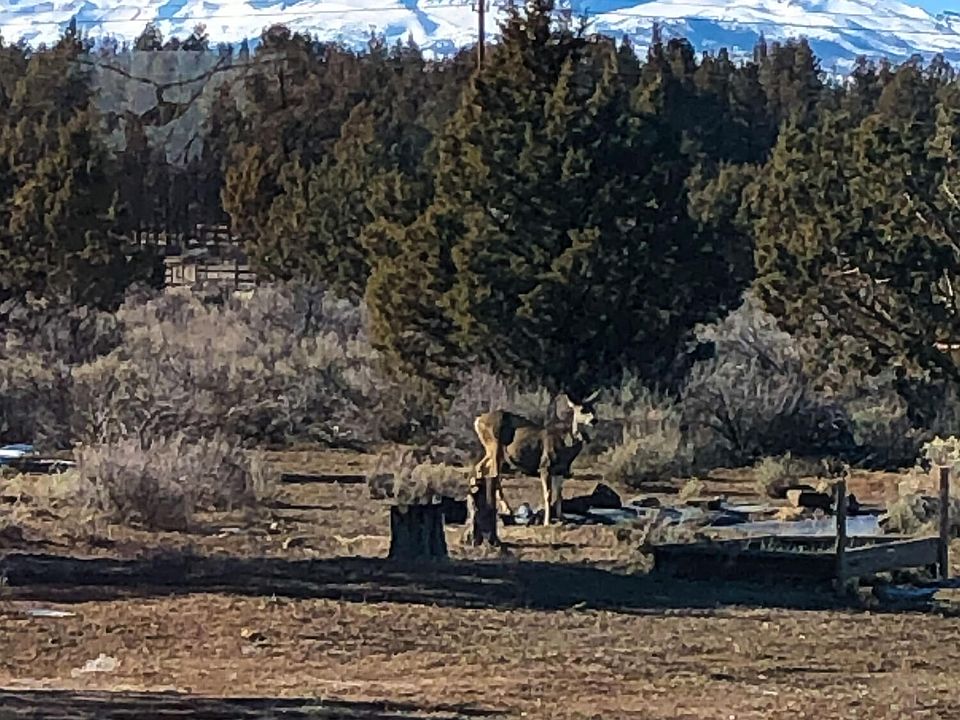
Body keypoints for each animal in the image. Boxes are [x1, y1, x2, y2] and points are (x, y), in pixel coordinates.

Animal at [472, 390, 600, 526]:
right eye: (582, 410)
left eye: (593, 409)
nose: (594, 420)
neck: (566, 447)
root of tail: (478, 421)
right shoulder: (545, 465)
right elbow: (548, 494)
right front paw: (547, 522)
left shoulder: (560, 470)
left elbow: (559, 495)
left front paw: (562, 518)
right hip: (494, 445)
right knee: (494, 475)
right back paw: (507, 510)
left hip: (492, 451)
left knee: (480, 467)